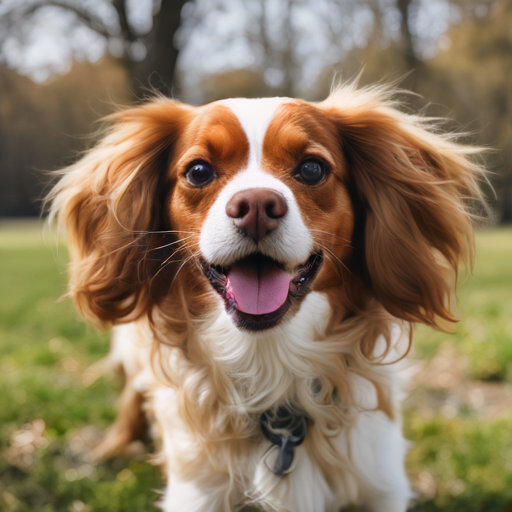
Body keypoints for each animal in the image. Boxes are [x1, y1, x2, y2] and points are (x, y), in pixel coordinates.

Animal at [47, 82, 484, 510]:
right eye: (199, 172)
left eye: (312, 168)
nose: (256, 205)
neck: (269, 365)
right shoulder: (197, 494)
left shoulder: (380, 485)